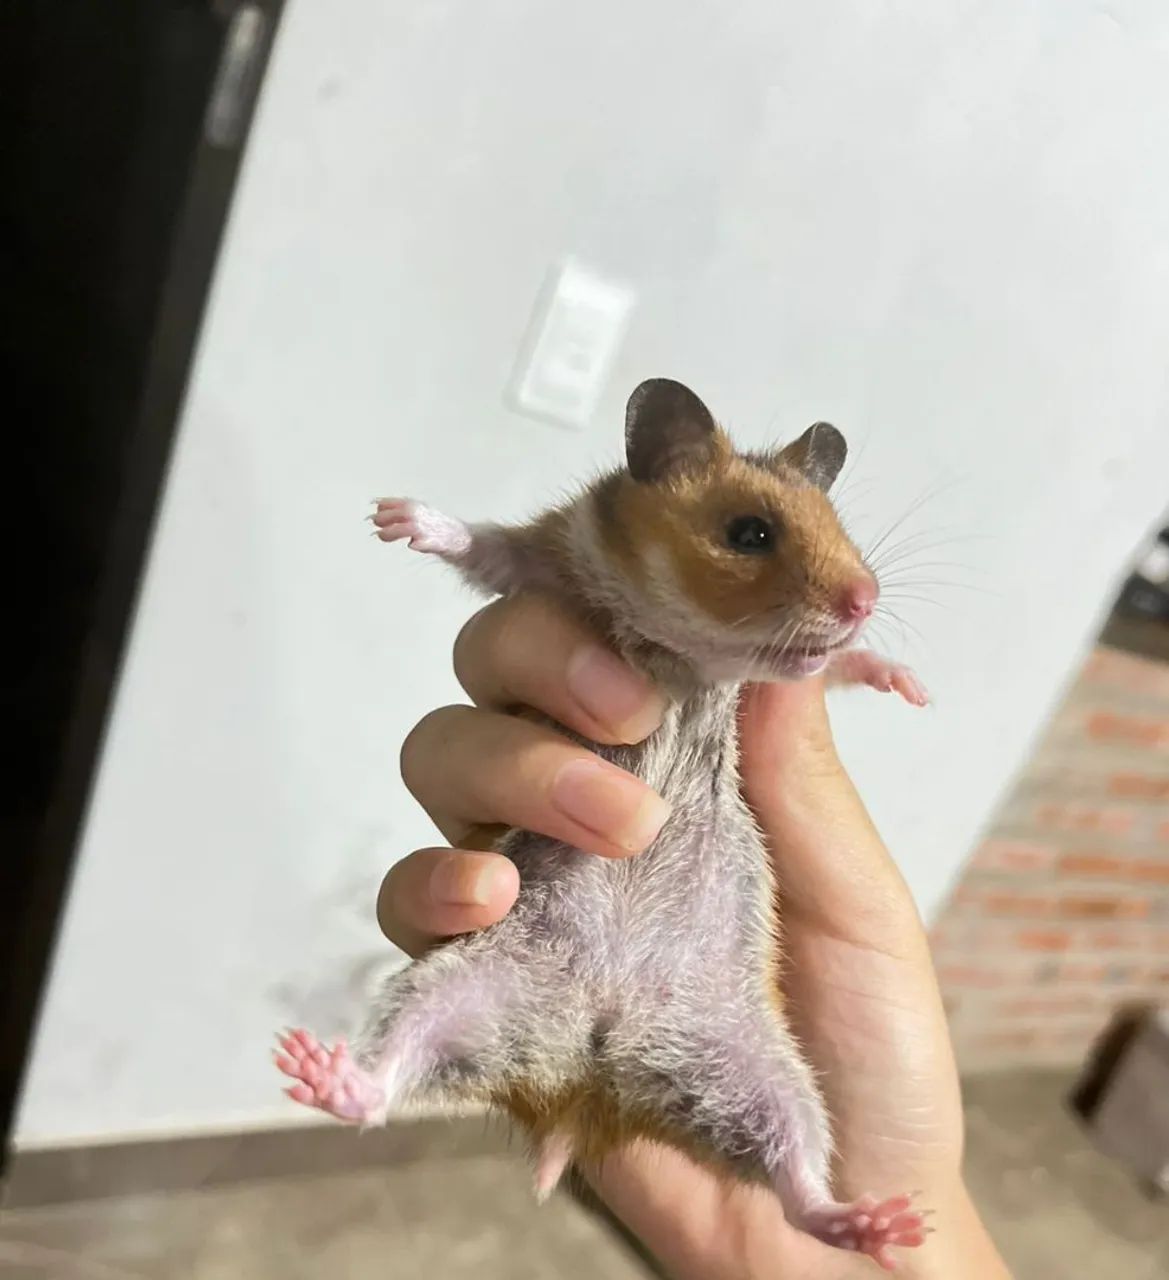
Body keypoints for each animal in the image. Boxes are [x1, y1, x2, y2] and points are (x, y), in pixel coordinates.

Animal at [274, 378, 929, 1268]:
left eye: (842, 529)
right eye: (749, 533)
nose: (864, 601)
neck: (682, 652)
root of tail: (589, 1084)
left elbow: (833, 670)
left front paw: (905, 679)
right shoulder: (540, 560)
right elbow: (480, 544)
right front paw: (397, 517)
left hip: (764, 1074)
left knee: (796, 1186)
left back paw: (881, 1225)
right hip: (454, 991)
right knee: (383, 1088)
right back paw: (319, 1072)